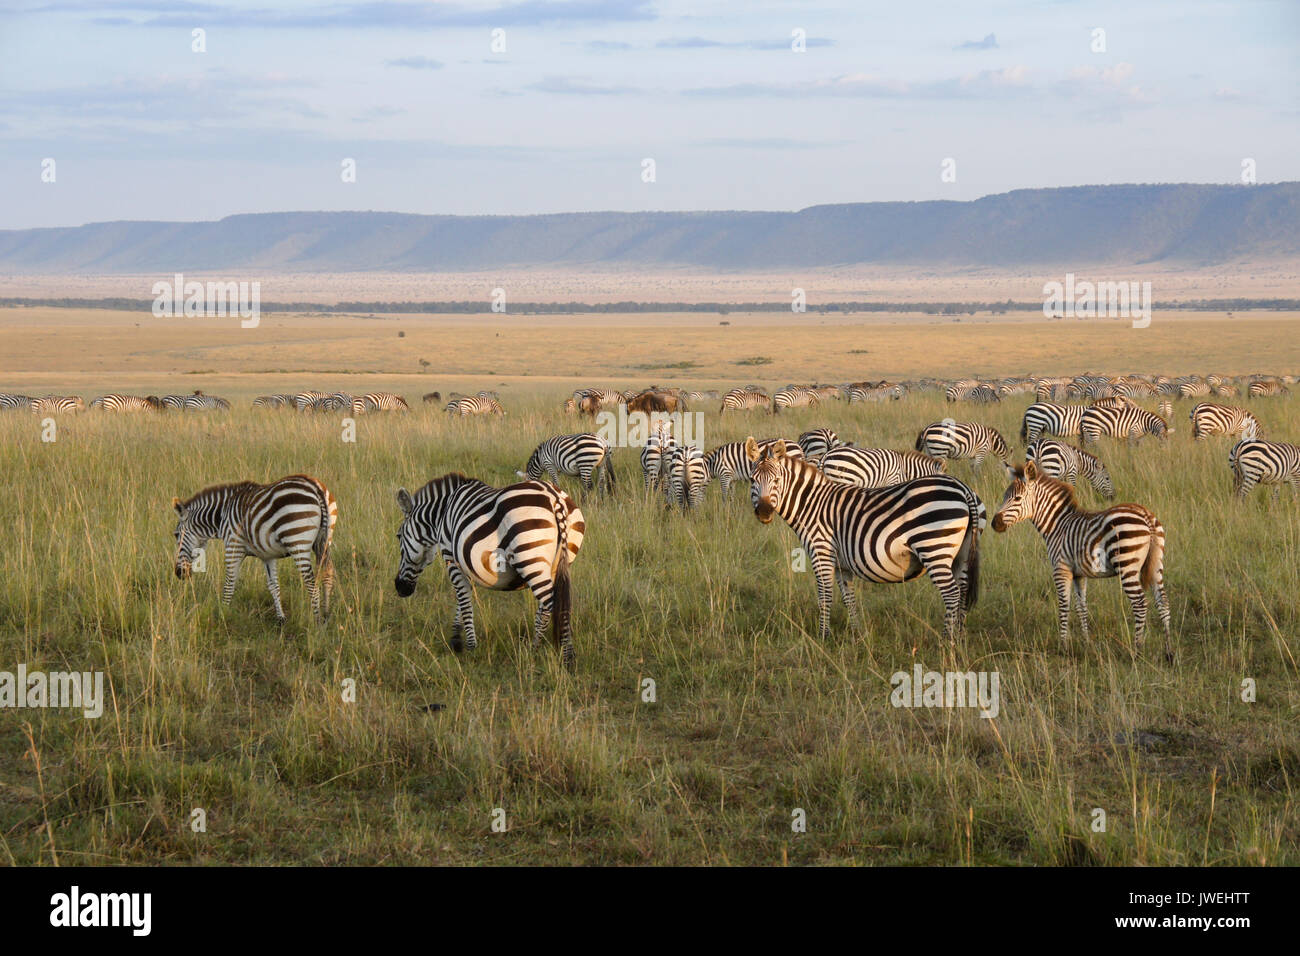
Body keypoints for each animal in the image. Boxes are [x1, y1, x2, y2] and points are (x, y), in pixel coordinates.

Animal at [170, 476, 338, 624]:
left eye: (176, 534)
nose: (179, 573)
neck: (222, 515)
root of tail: (315, 487)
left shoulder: (233, 546)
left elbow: (229, 583)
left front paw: (222, 614)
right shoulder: (267, 555)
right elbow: (273, 585)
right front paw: (281, 619)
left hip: (297, 541)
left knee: (311, 583)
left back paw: (316, 624)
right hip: (324, 541)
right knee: (328, 575)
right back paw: (326, 616)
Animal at [390, 476, 585, 671]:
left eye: (398, 536)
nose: (400, 588)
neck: (441, 515)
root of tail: (554, 498)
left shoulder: (450, 556)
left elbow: (463, 599)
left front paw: (469, 646)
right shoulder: (466, 562)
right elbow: (463, 599)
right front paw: (456, 638)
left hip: (531, 559)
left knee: (554, 606)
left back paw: (559, 655)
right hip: (557, 563)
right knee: (551, 606)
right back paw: (541, 649)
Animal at [748, 437, 977, 647]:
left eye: (777, 479)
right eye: (752, 480)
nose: (764, 512)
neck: (812, 505)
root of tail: (962, 487)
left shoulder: (821, 552)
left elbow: (825, 596)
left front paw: (823, 636)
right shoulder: (841, 564)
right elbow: (848, 598)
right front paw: (857, 633)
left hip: (934, 549)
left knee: (951, 593)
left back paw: (947, 642)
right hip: (961, 555)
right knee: (963, 589)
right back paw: (960, 637)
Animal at [987, 465, 1175, 665]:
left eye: (1017, 499)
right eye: (1004, 497)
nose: (994, 523)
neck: (1057, 526)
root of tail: (1146, 516)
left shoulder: (1061, 569)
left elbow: (1064, 605)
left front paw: (1063, 647)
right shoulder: (1079, 573)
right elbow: (1081, 607)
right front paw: (1086, 643)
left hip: (1127, 565)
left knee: (1140, 604)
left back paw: (1137, 653)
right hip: (1156, 565)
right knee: (1163, 602)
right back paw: (1169, 653)